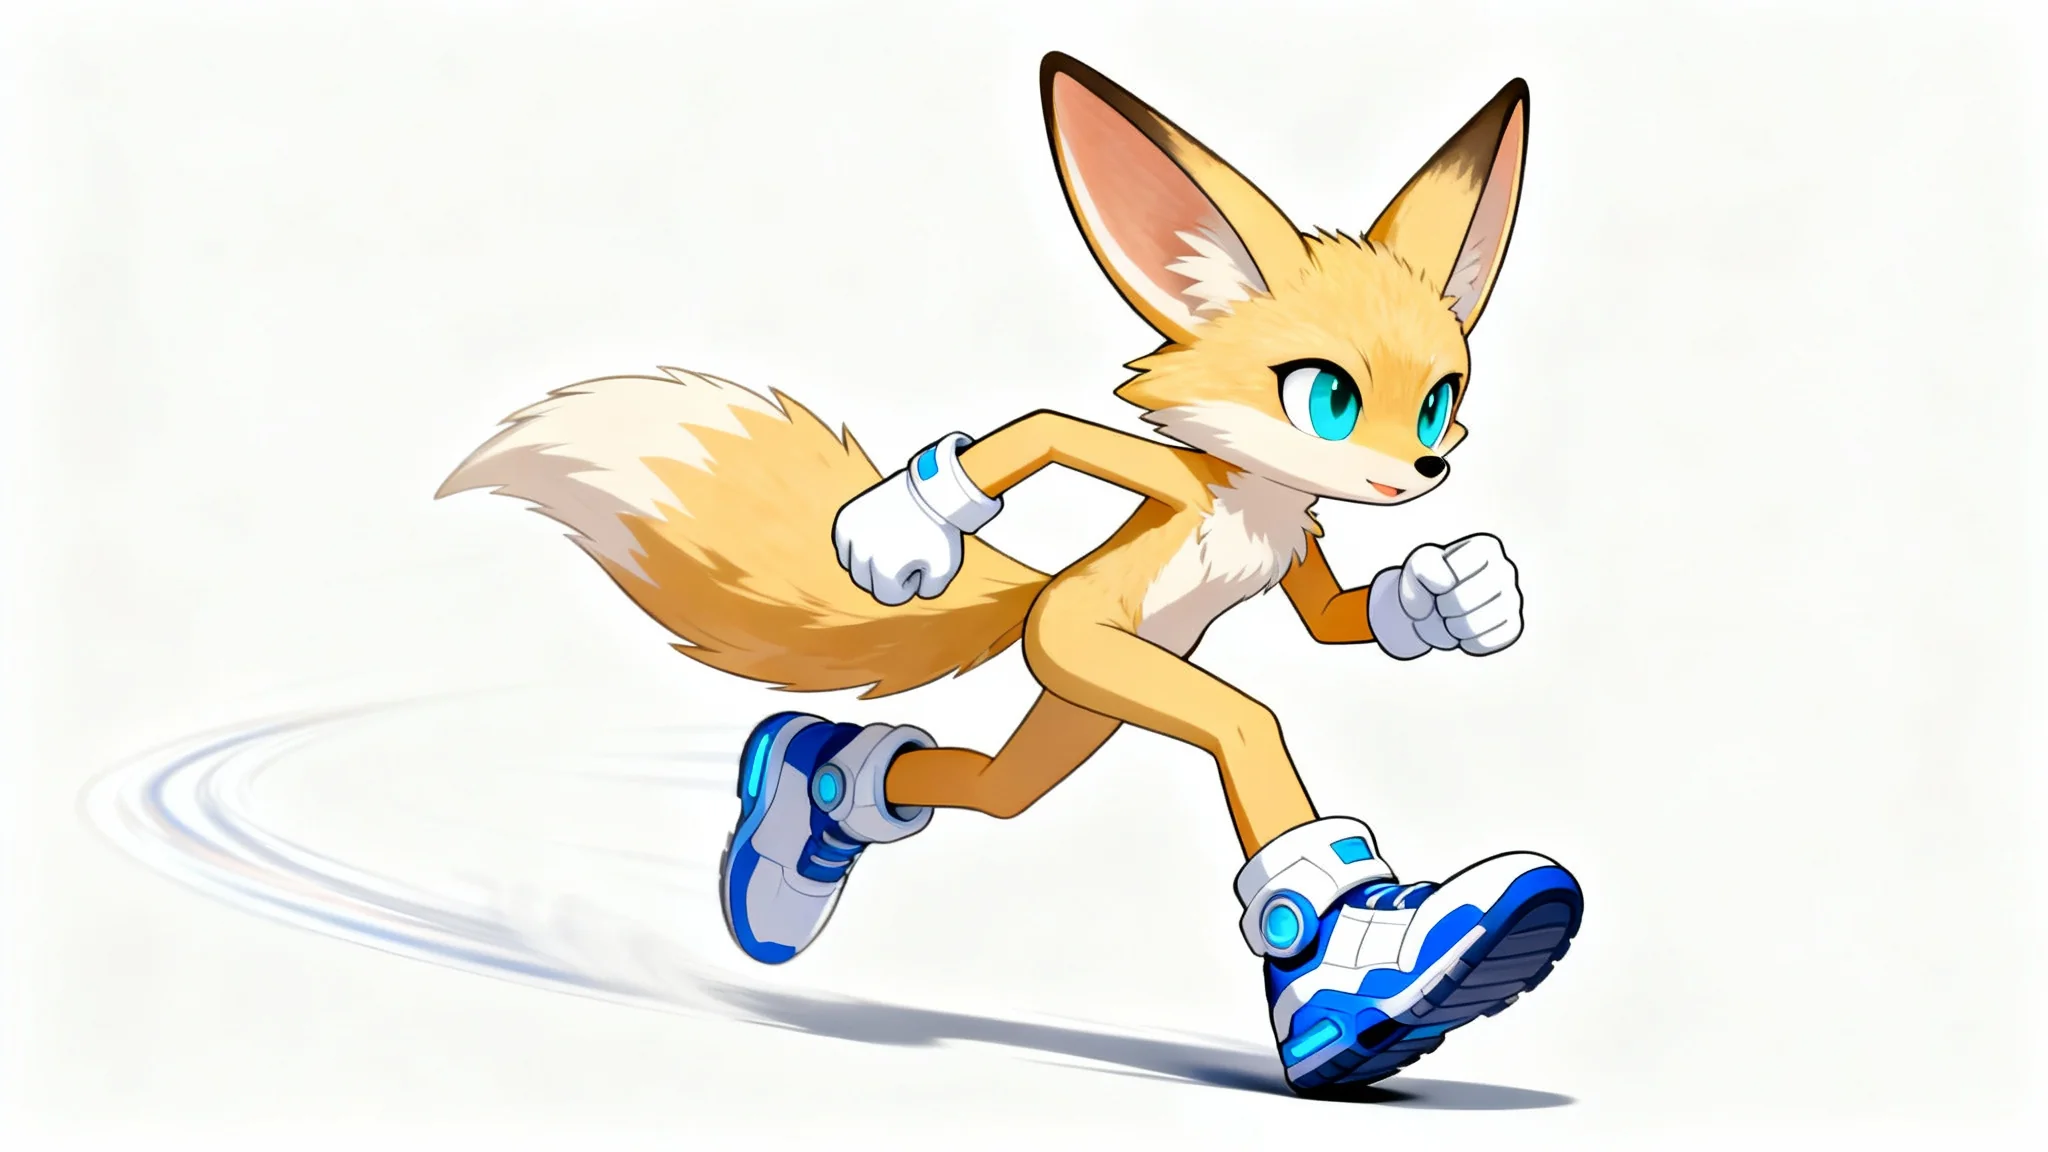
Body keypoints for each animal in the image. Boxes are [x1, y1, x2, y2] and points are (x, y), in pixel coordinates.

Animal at [437, 52, 1582, 1097]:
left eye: (1438, 402)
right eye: (1329, 401)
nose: (1420, 470)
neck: (1254, 499)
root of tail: (1039, 597)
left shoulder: (1297, 539)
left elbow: (1338, 616)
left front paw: (1454, 597)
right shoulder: (1172, 484)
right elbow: (1039, 435)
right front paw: (893, 529)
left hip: (1084, 703)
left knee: (989, 788)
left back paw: (810, 801)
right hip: (1081, 651)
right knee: (1198, 732)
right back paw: (802, 790)